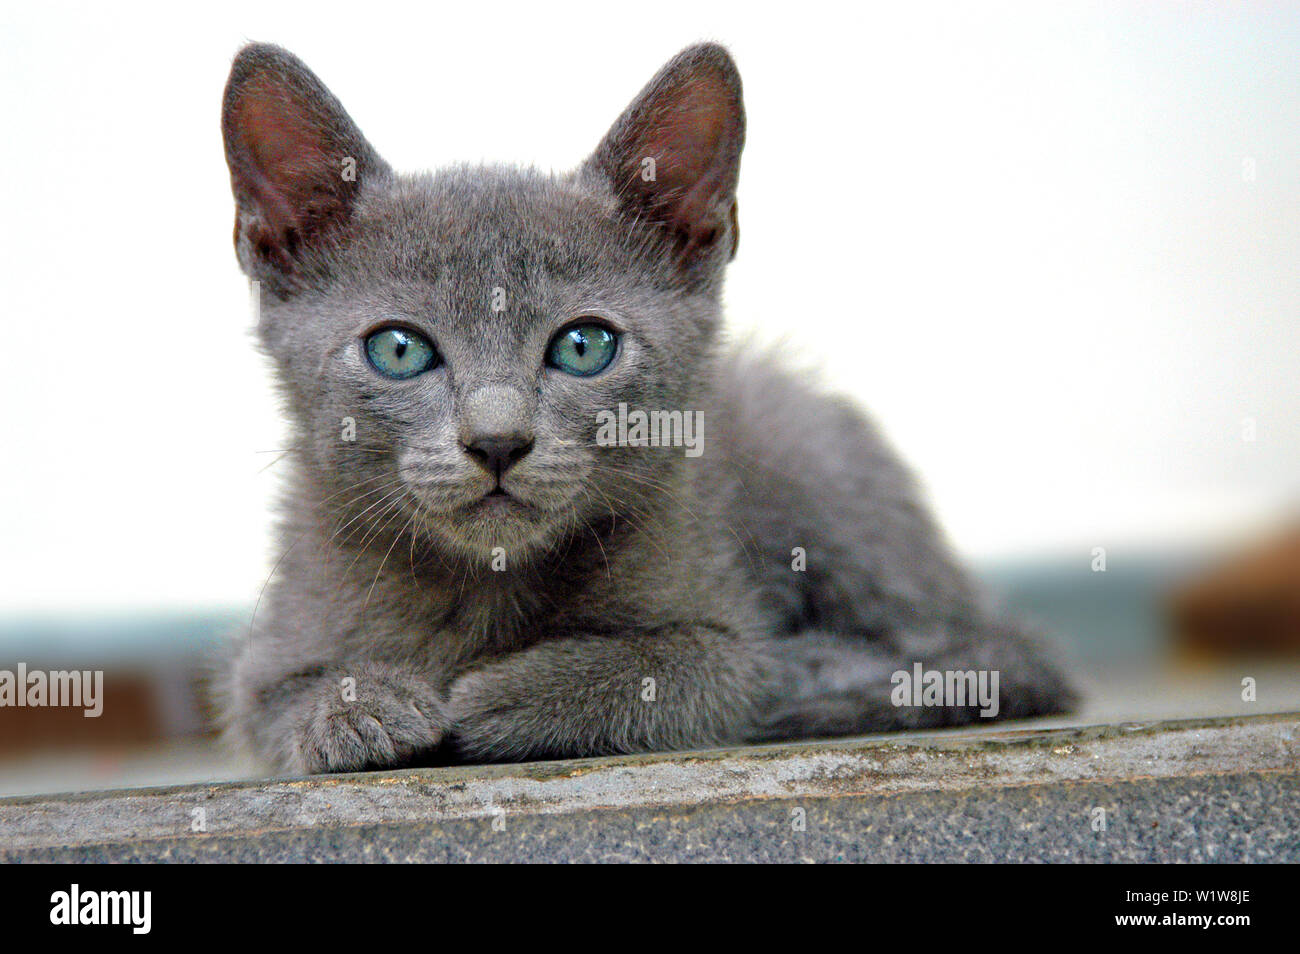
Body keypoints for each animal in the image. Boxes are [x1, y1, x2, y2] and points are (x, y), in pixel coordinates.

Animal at [220, 42, 1076, 779]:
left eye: (584, 346)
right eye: (398, 350)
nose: (497, 441)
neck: (491, 584)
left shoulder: (721, 619)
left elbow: (696, 667)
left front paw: (515, 693)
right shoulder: (269, 648)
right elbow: (273, 697)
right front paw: (359, 707)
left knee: (990, 654)